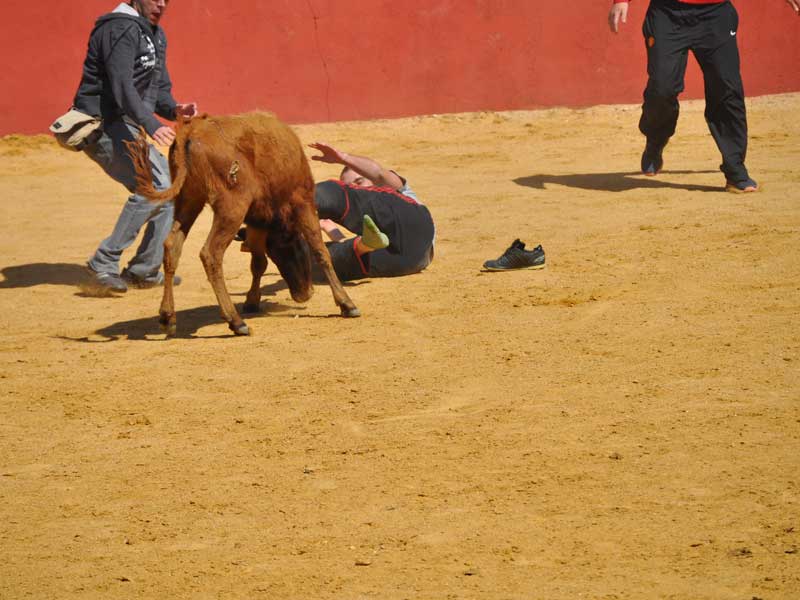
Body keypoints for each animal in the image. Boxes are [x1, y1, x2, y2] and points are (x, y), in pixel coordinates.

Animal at [126, 112, 360, 338]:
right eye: (293, 247)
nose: (304, 294)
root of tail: (191, 132)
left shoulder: (257, 220)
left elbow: (258, 262)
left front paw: (252, 301)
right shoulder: (303, 201)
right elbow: (320, 251)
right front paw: (346, 304)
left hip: (188, 201)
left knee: (171, 246)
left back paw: (168, 318)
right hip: (231, 208)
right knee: (211, 253)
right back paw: (236, 322)